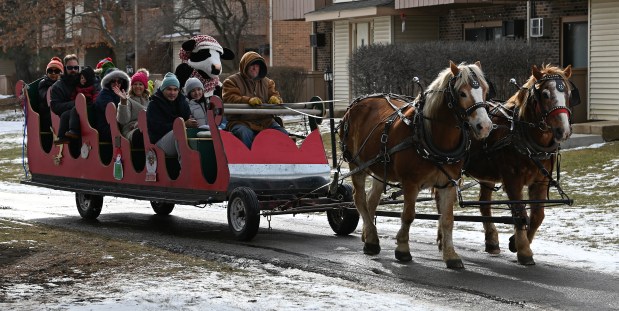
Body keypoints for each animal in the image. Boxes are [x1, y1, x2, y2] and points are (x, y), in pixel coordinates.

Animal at [340, 61, 494, 268]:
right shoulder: (411, 183)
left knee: (371, 201)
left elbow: (447, 219)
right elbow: (408, 215)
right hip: (357, 165)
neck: (432, 135)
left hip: (380, 168)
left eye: (485, 91)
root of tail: (356, 104)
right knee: (359, 200)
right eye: (462, 93)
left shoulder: (448, 183)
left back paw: (368, 235)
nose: (484, 126)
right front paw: (403, 249)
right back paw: (372, 240)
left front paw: (451, 255)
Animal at [464, 64, 576, 266]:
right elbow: (520, 213)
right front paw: (524, 250)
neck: (522, 133)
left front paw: (515, 243)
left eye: (569, 93)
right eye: (545, 94)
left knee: (484, 204)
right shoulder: (512, 180)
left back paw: (491, 241)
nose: (563, 130)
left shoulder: (540, 181)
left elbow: (537, 215)